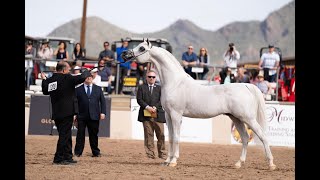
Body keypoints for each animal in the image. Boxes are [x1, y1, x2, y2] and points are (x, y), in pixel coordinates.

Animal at [121, 39, 276, 170]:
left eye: (142, 48)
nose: (124, 54)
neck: (175, 83)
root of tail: (246, 86)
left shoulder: (176, 115)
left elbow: (176, 137)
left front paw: (173, 161)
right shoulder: (168, 116)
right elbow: (170, 137)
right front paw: (167, 161)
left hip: (248, 118)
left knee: (263, 136)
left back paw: (271, 164)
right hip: (236, 118)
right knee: (244, 138)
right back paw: (238, 163)